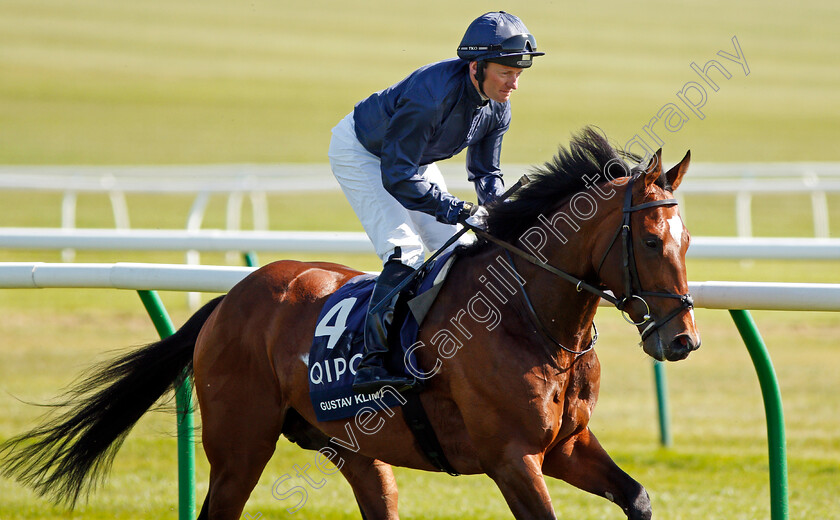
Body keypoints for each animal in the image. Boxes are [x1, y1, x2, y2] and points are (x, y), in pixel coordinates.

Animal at [1, 127, 704, 520]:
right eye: (648, 240)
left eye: (689, 239)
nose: (682, 339)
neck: (528, 320)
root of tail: (231, 299)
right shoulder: (512, 458)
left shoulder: (565, 446)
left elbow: (638, 496)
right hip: (240, 447)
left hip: (355, 450)